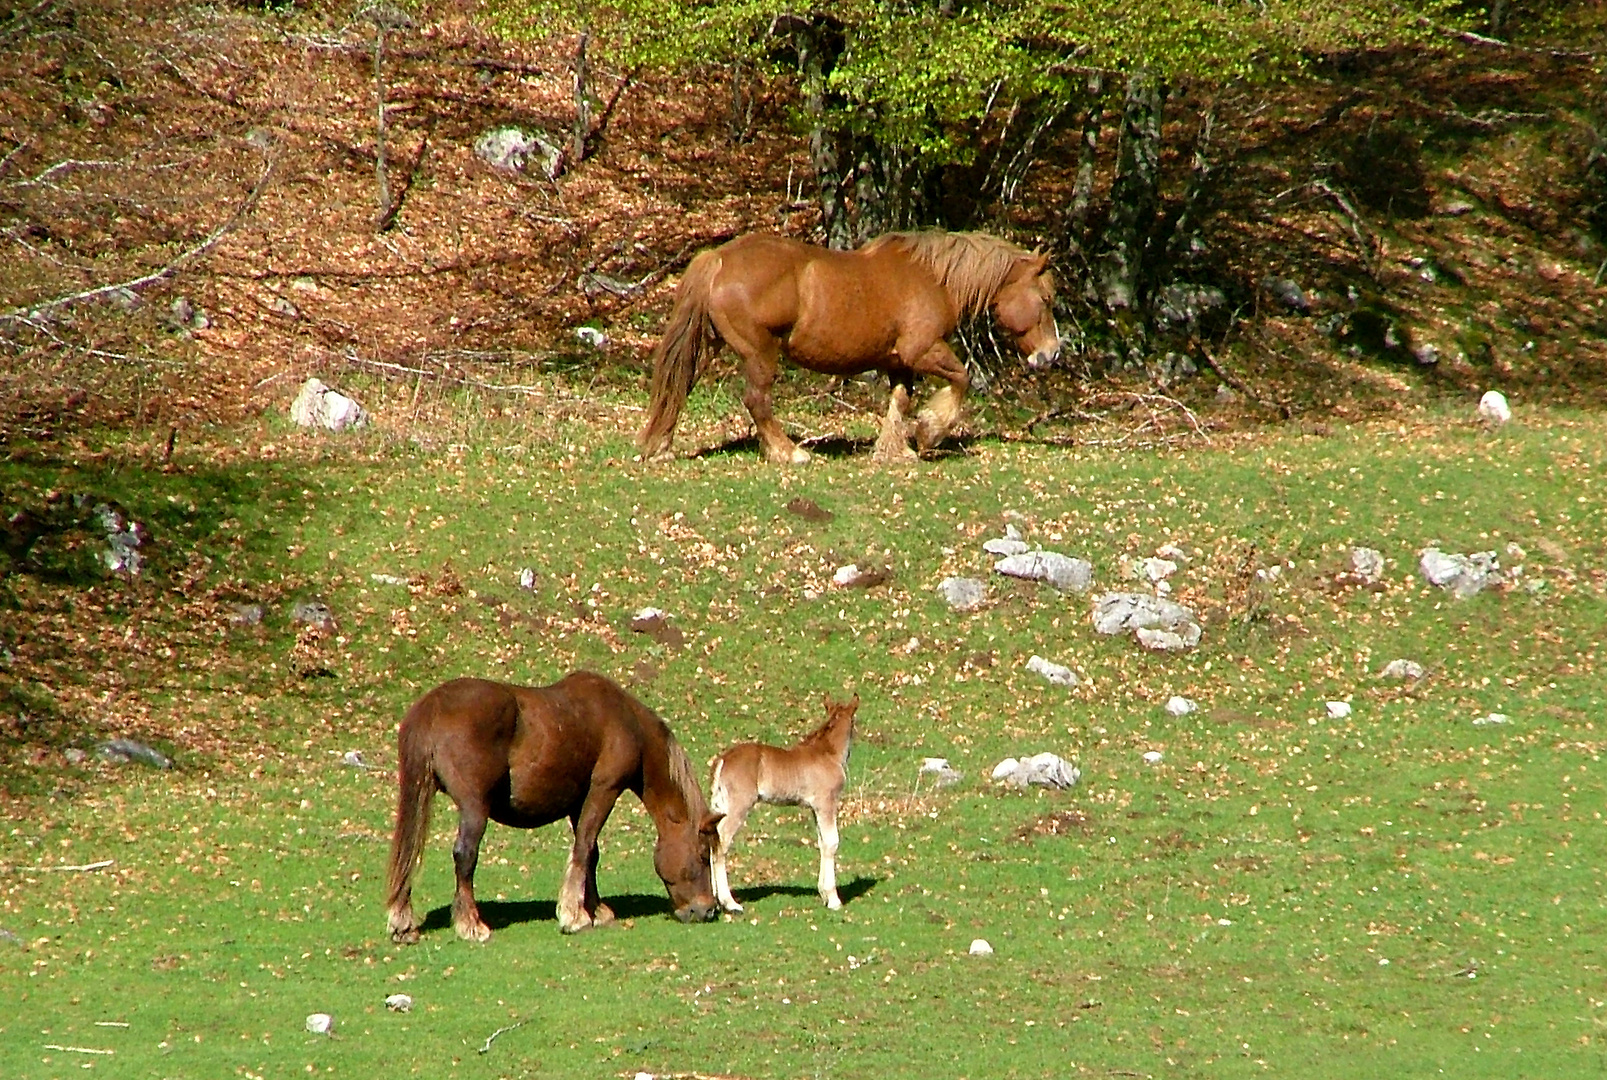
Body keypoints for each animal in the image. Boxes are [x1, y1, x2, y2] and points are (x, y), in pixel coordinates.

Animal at [385, 671, 719, 938]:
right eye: (703, 856)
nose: (707, 910)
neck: (624, 719)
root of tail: (433, 705)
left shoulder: (578, 802)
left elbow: (591, 853)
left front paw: (595, 909)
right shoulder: (604, 790)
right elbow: (584, 848)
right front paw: (574, 916)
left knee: (409, 850)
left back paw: (402, 920)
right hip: (474, 807)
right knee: (465, 855)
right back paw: (471, 924)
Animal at [633, 228, 1060, 462]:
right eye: (1046, 299)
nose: (1051, 353)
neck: (932, 278)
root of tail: (718, 258)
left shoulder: (898, 363)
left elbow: (899, 401)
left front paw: (894, 450)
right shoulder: (922, 351)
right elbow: (961, 379)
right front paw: (929, 433)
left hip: (709, 345)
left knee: (679, 386)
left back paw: (661, 445)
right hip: (760, 353)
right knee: (757, 401)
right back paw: (790, 452)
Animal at [703, 691, 854, 912]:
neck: (828, 753)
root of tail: (724, 759)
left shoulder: (814, 808)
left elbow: (821, 842)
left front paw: (823, 894)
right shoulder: (826, 803)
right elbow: (832, 842)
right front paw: (833, 899)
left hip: (720, 805)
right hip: (739, 806)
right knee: (722, 841)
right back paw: (730, 902)